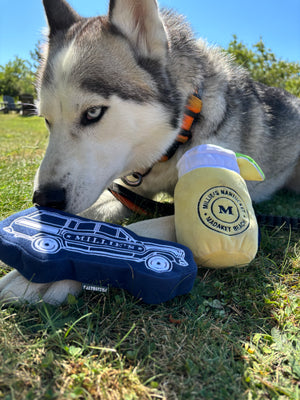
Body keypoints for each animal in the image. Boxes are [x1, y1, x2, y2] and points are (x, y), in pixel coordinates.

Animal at [0, 0, 300, 304]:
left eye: (93, 112)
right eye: (47, 120)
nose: (44, 199)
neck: (173, 144)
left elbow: (139, 231)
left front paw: (40, 276)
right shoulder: (127, 192)